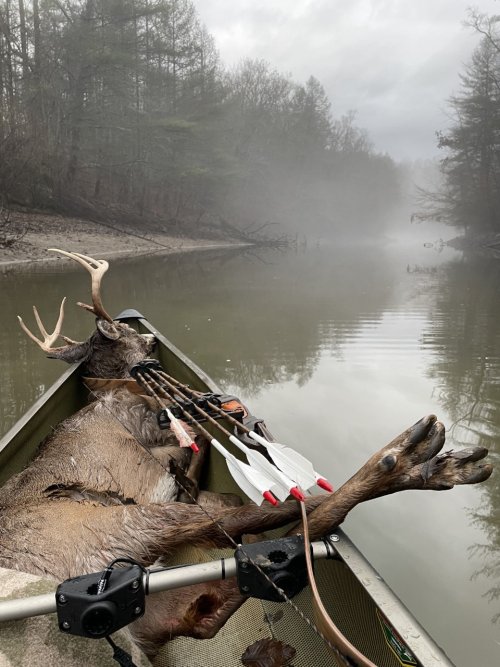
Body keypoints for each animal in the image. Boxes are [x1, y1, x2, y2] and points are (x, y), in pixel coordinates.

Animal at [0, 253, 492, 660]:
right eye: (124, 332)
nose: (149, 337)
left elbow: (196, 457)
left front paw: (197, 463)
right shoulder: (153, 425)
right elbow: (201, 449)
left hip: (153, 600)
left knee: (212, 606)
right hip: (121, 524)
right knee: (268, 517)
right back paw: (415, 460)